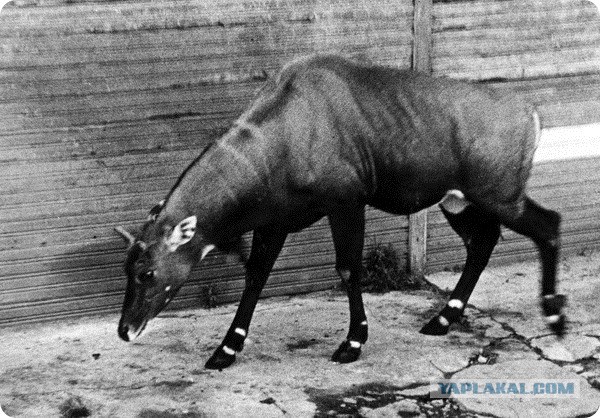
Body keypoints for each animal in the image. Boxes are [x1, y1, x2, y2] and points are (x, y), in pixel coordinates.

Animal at [115, 54, 564, 370]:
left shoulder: (346, 203)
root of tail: (530, 112)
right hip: (458, 200)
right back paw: (441, 321)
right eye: (127, 266)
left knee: (548, 225)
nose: (125, 330)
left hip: (501, 197)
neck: (286, 132)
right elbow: (256, 276)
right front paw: (225, 350)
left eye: (147, 272)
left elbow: (348, 268)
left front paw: (352, 343)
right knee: (482, 242)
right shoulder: (274, 223)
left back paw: (555, 315)